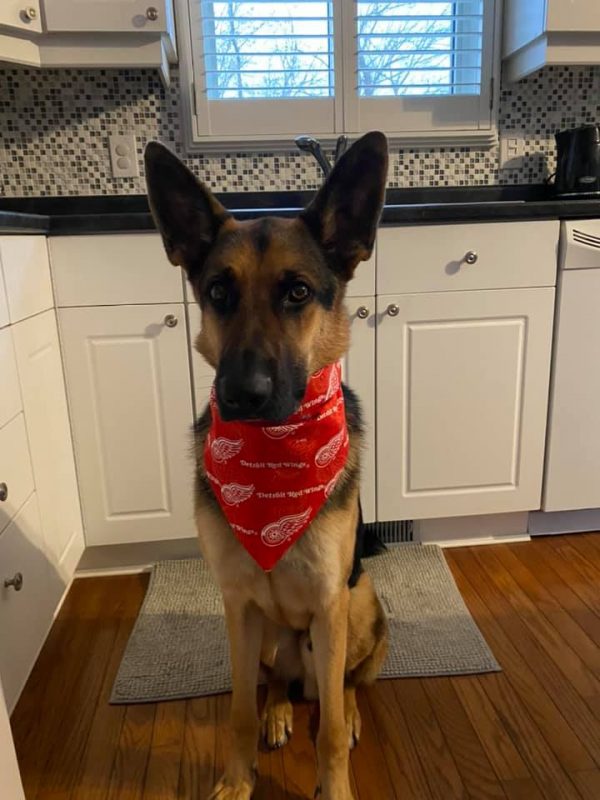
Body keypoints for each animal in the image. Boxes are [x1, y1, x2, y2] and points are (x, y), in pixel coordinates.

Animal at [145, 133, 390, 800]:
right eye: (218, 292)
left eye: (298, 292)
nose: (242, 395)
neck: (274, 455)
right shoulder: (236, 606)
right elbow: (236, 712)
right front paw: (237, 779)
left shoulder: (330, 603)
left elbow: (326, 730)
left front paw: (336, 785)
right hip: (266, 639)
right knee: (277, 683)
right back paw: (279, 711)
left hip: (359, 605)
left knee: (344, 685)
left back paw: (347, 712)